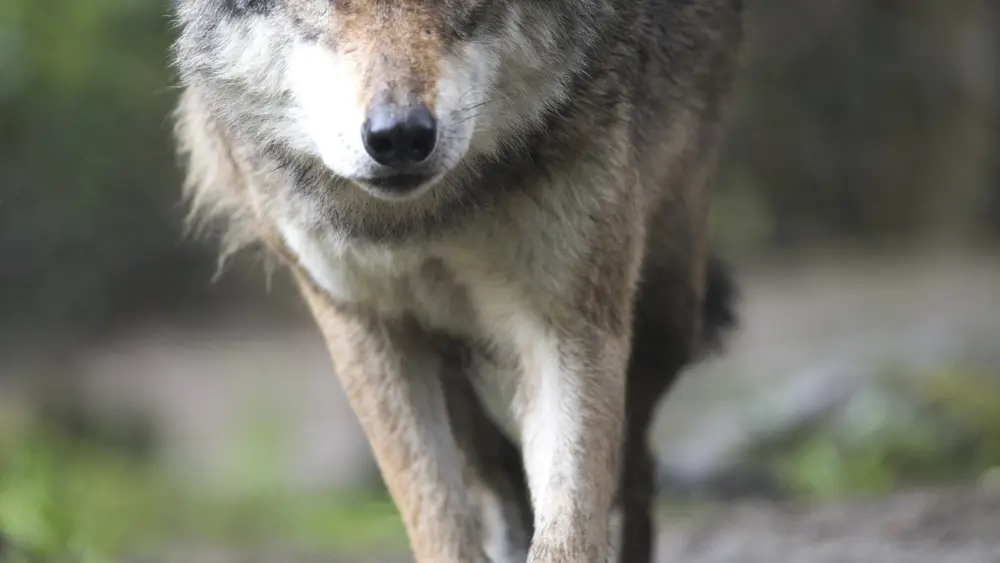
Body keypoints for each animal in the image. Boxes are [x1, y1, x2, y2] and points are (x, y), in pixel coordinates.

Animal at [170, 0, 743, 561]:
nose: (399, 136)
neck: (426, 222)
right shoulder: (363, 325)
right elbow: (438, 520)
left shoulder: (570, 323)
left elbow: (570, 529)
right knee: (495, 466)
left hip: (666, 317)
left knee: (634, 470)